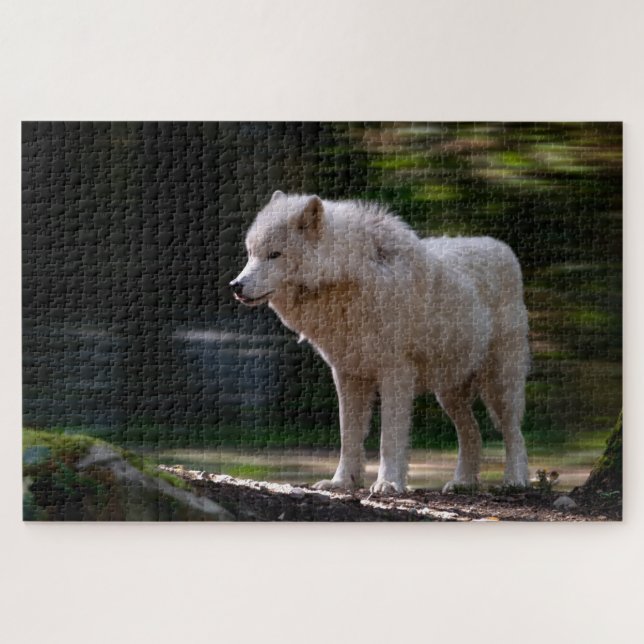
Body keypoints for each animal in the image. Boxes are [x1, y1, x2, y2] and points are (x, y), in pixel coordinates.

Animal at [230, 191, 530, 494]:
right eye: (251, 253)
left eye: (274, 254)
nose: (236, 286)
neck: (349, 277)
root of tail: (501, 247)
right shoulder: (347, 375)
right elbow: (348, 436)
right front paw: (341, 481)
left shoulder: (395, 374)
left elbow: (389, 438)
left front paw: (388, 482)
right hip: (449, 392)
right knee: (473, 433)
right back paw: (462, 483)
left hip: (500, 385)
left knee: (513, 432)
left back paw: (515, 480)